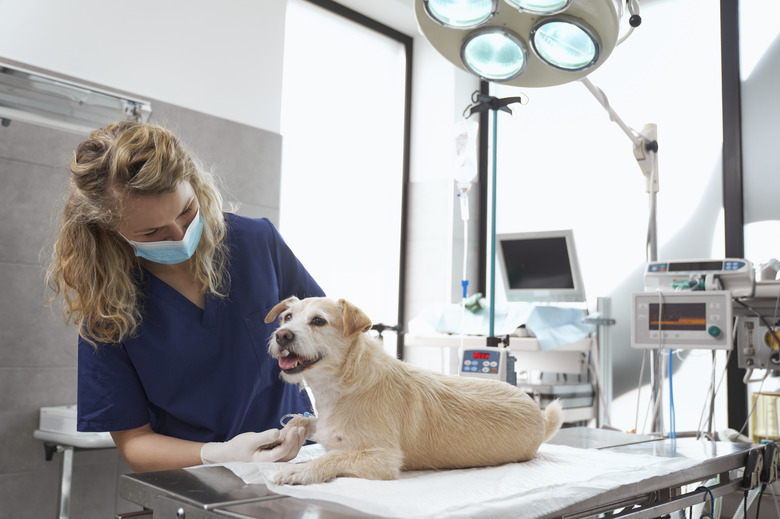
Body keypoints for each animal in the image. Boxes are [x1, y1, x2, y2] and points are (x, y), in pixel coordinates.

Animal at [266, 296, 564, 488]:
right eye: (287, 317)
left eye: (318, 321)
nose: (282, 335)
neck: (345, 383)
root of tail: (539, 416)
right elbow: (303, 422)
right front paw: (283, 435)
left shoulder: (384, 459)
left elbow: (335, 455)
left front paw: (301, 470)